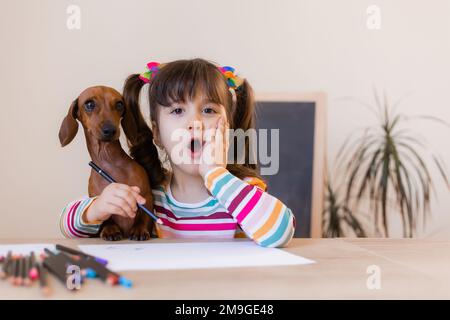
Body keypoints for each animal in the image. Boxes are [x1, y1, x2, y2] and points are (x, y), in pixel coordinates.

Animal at [59, 85, 154, 240]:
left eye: (119, 104)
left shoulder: (147, 196)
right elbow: (105, 217)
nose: (110, 130)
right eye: (89, 104)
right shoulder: (97, 198)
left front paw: (140, 228)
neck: (110, 162)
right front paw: (110, 229)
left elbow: (144, 214)